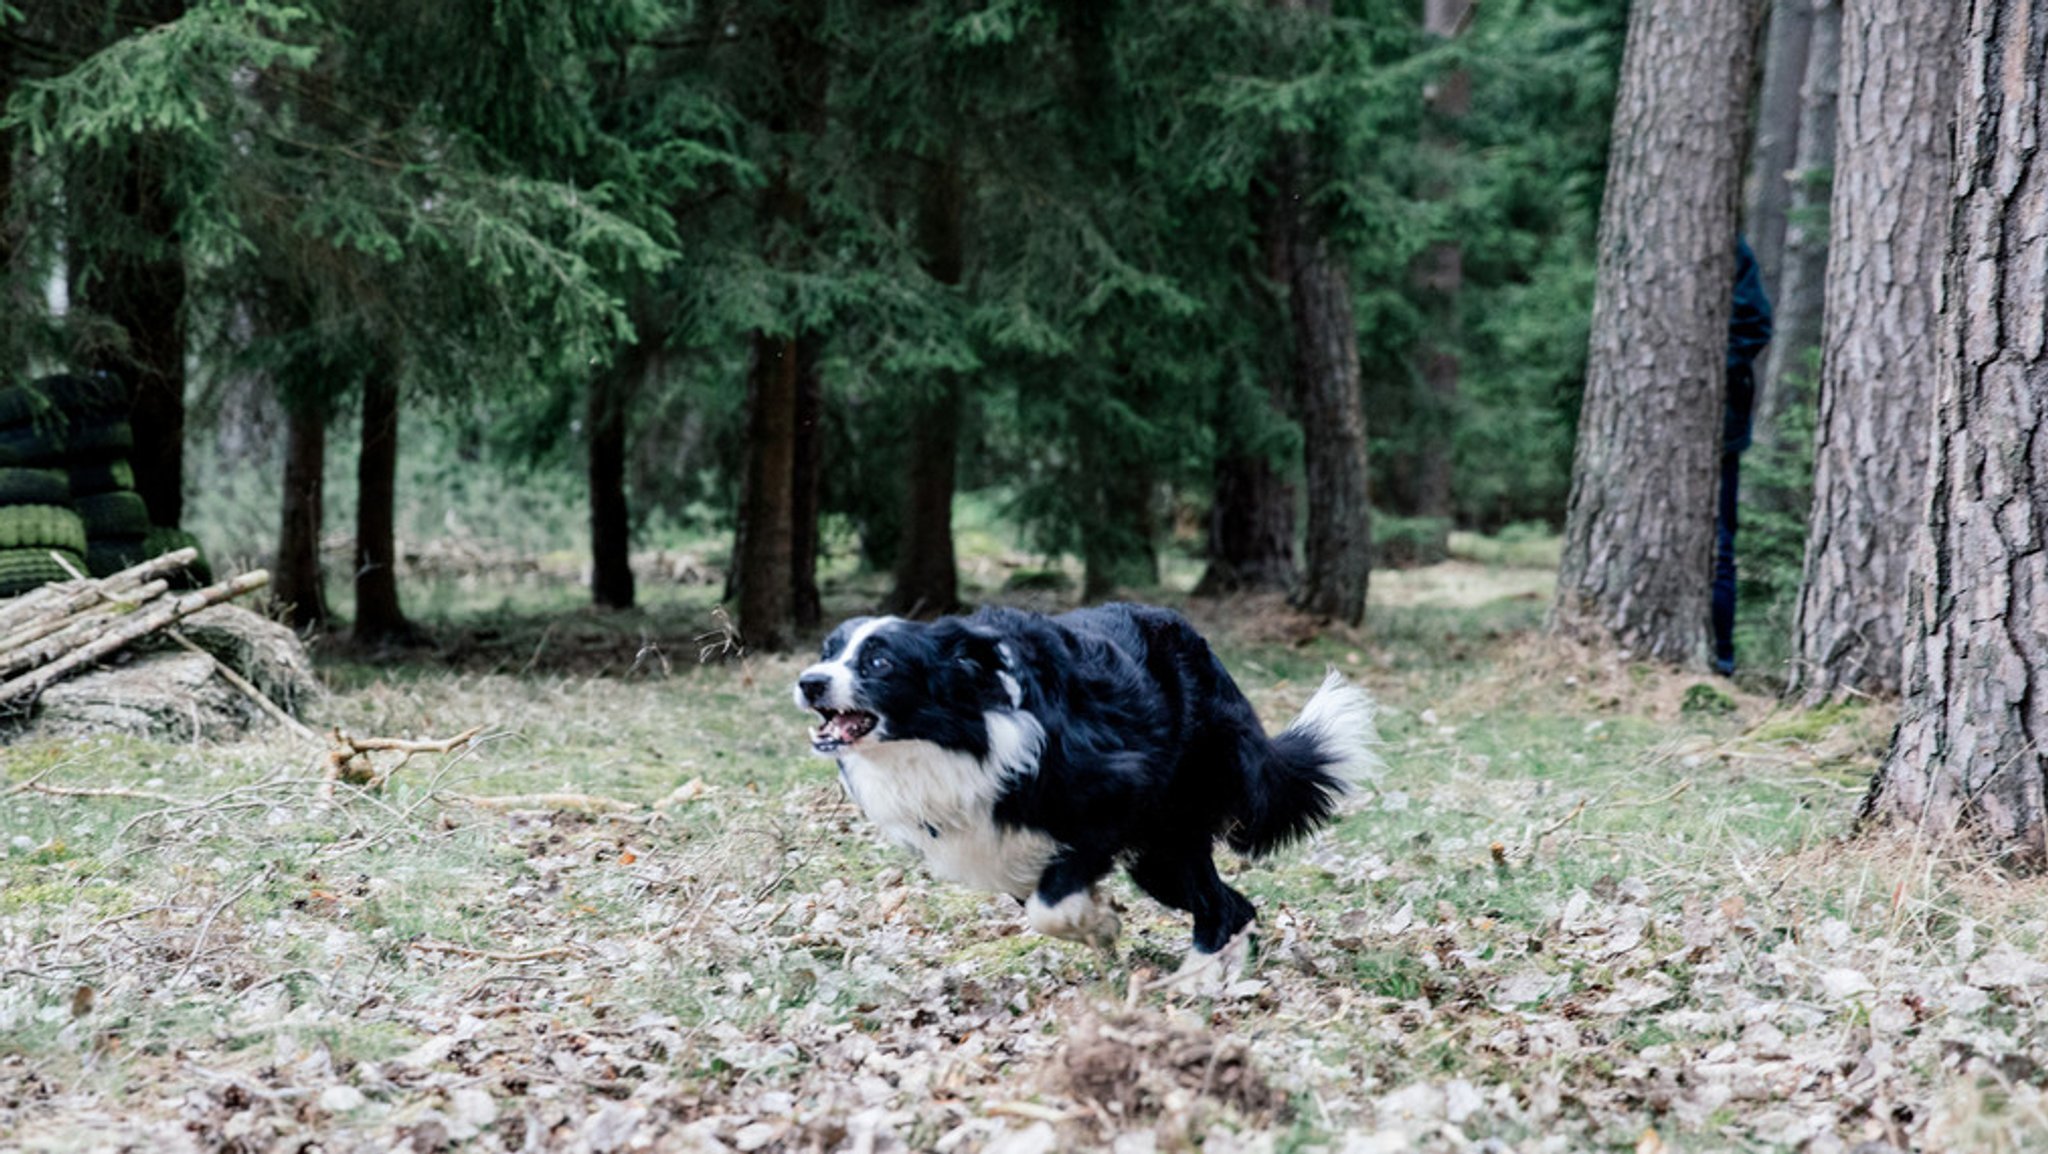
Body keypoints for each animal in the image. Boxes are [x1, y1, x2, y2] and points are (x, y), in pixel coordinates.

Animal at [794, 602, 1376, 987]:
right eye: (828, 652)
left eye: (879, 662)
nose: (808, 682)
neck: (962, 735)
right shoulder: (1002, 850)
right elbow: (1037, 895)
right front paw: (1098, 923)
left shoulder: (1116, 795)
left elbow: (1050, 903)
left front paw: (1098, 923)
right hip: (1158, 863)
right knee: (1234, 904)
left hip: (1174, 823)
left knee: (1217, 903)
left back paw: (1195, 978)